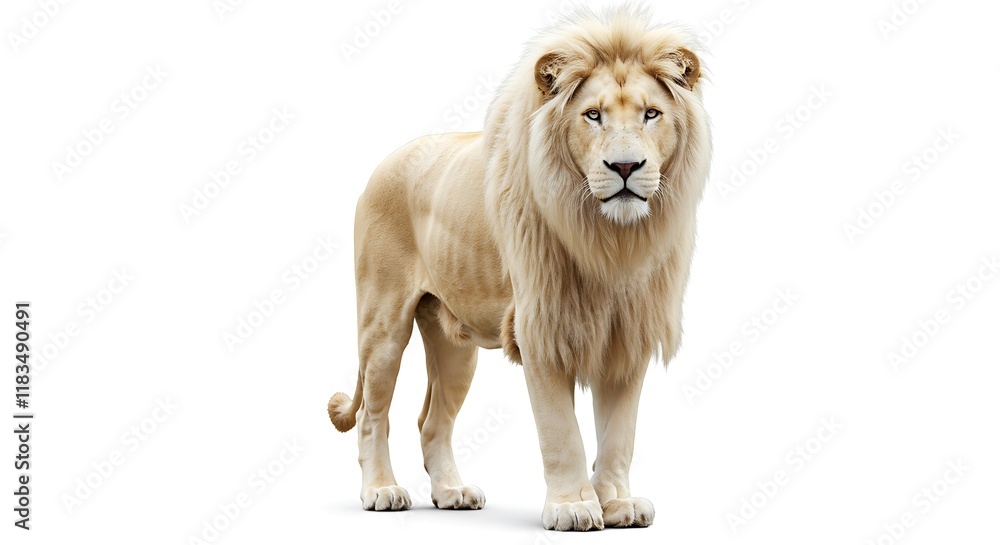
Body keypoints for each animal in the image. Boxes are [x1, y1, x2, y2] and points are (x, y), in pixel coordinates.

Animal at [327, 7, 711, 531]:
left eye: (651, 114)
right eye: (592, 115)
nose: (625, 166)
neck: (610, 240)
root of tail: (385, 162)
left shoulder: (627, 333)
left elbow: (620, 434)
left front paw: (617, 503)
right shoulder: (541, 328)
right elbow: (561, 432)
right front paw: (573, 506)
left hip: (453, 345)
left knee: (431, 421)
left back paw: (452, 492)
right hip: (383, 325)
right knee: (372, 414)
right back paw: (381, 491)